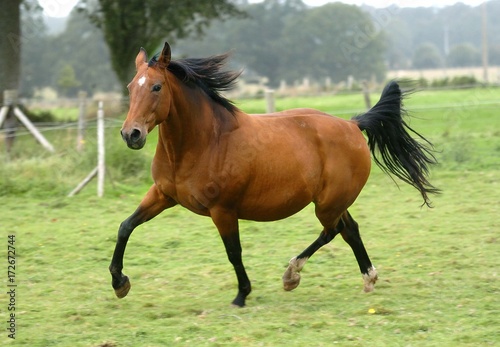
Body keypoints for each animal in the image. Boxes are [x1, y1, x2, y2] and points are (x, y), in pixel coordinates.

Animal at [109, 41, 438, 308]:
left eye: (156, 87)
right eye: (130, 87)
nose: (131, 134)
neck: (205, 141)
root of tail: (353, 124)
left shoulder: (223, 210)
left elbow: (234, 251)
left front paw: (242, 294)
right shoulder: (163, 194)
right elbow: (125, 226)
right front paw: (119, 283)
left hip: (327, 203)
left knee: (332, 231)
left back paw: (292, 274)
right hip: (334, 201)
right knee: (350, 229)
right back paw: (368, 277)